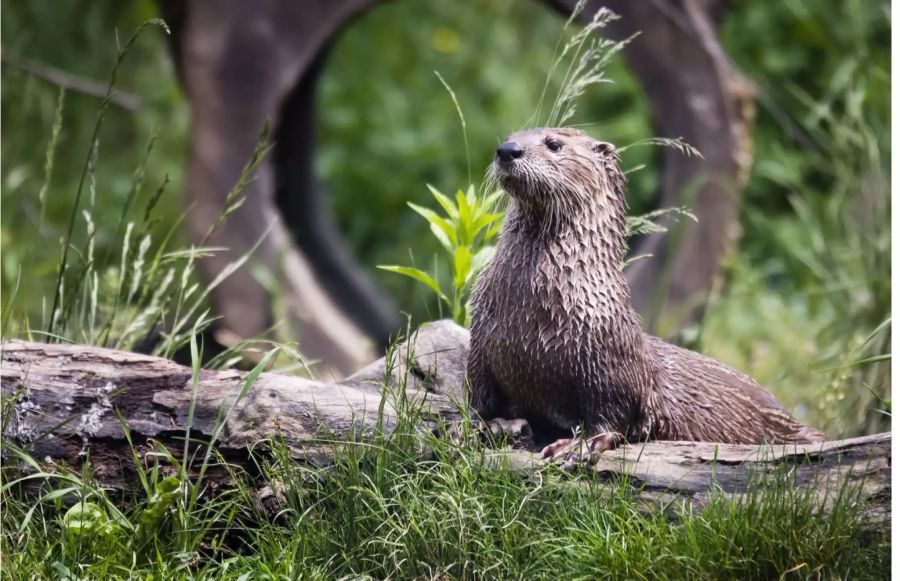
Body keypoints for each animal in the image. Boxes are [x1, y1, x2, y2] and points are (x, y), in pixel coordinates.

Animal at [468, 127, 828, 462]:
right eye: (510, 136)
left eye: (554, 144)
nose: (507, 150)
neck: (531, 312)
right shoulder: (481, 343)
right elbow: (480, 397)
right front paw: (479, 426)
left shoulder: (610, 362)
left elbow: (614, 415)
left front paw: (577, 446)